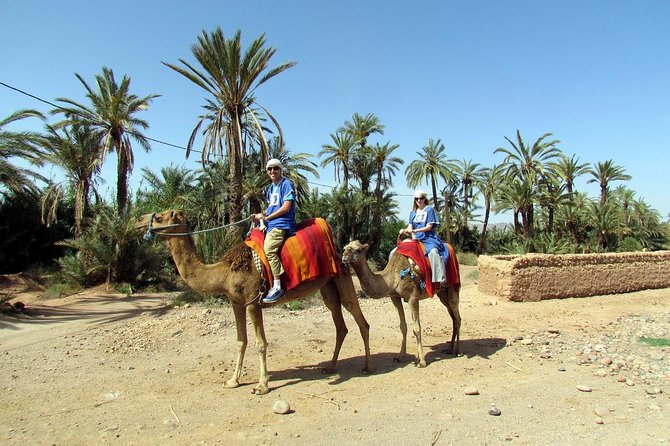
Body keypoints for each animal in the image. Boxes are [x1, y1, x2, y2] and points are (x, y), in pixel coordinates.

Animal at [136, 210, 373, 395]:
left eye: (159, 217)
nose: (138, 220)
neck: (224, 273)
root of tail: (339, 252)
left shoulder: (253, 303)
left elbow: (260, 344)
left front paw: (262, 385)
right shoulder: (236, 304)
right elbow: (241, 340)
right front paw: (233, 381)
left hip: (342, 277)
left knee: (361, 320)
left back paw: (367, 367)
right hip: (328, 286)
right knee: (340, 323)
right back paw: (331, 367)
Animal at [341, 239, 461, 367]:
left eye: (357, 250)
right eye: (345, 248)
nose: (344, 257)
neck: (393, 277)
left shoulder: (413, 298)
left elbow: (417, 328)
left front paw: (422, 361)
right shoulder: (395, 297)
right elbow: (403, 326)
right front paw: (400, 357)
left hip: (453, 286)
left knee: (457, 316)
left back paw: (458, 351)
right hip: (442, 294)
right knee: (453, 317)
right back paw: (449, 349)